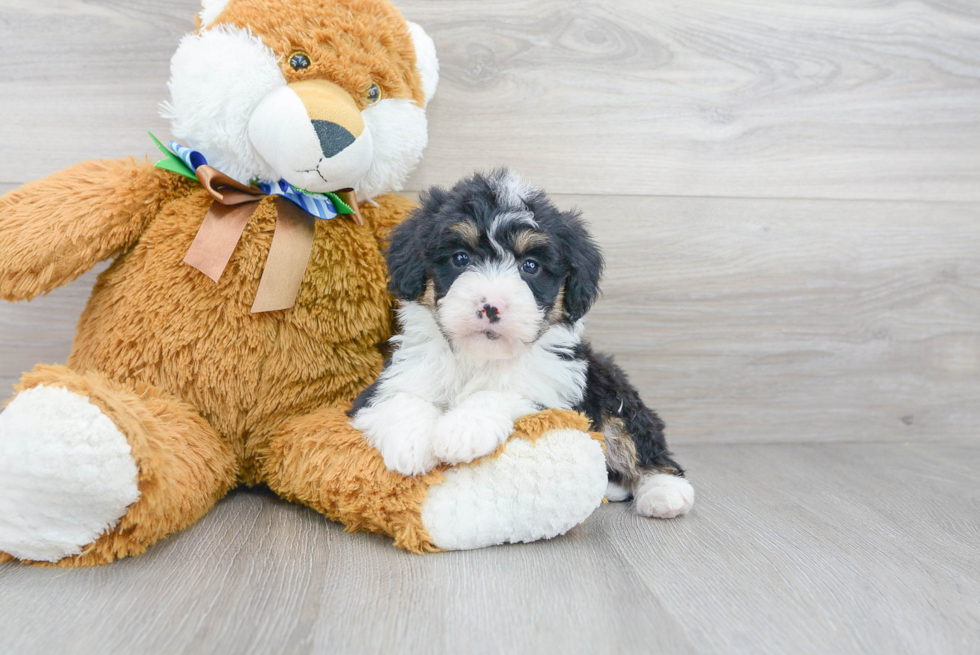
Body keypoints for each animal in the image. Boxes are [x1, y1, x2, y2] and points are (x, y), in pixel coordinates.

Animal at [348, 172, 692, 520]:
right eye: (461, 258)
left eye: (530, 266)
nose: (491, 306)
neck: (478, 357)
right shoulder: (394, 376)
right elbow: (399, 397)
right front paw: (410, 442)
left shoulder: (556, 387)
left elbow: (508, 390)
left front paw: (464, 428)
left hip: (610, 387)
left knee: (638, 439)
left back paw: (664, 490)